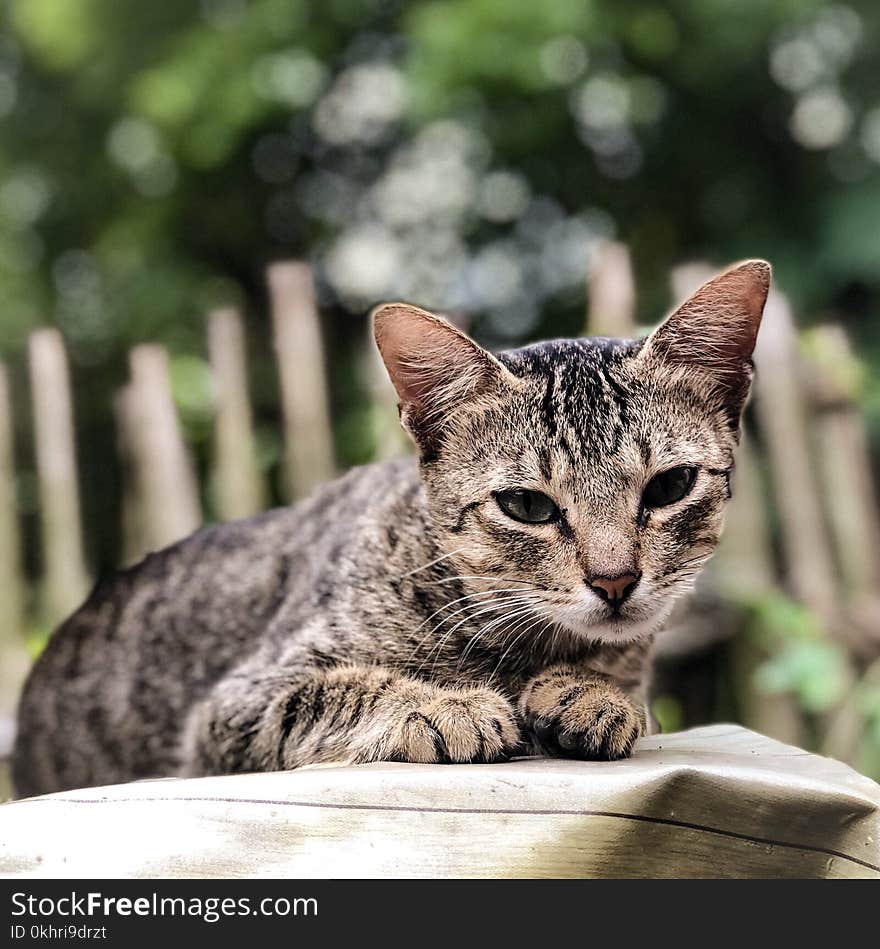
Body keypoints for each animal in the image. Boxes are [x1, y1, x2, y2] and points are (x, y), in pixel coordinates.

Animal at [13, 258, 768, 792]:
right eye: (527, 506)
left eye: (669, 486)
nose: (615, 580)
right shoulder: (232, 708)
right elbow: (337, 688)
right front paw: (446, 706)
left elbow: (627, 690)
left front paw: (592, 693)